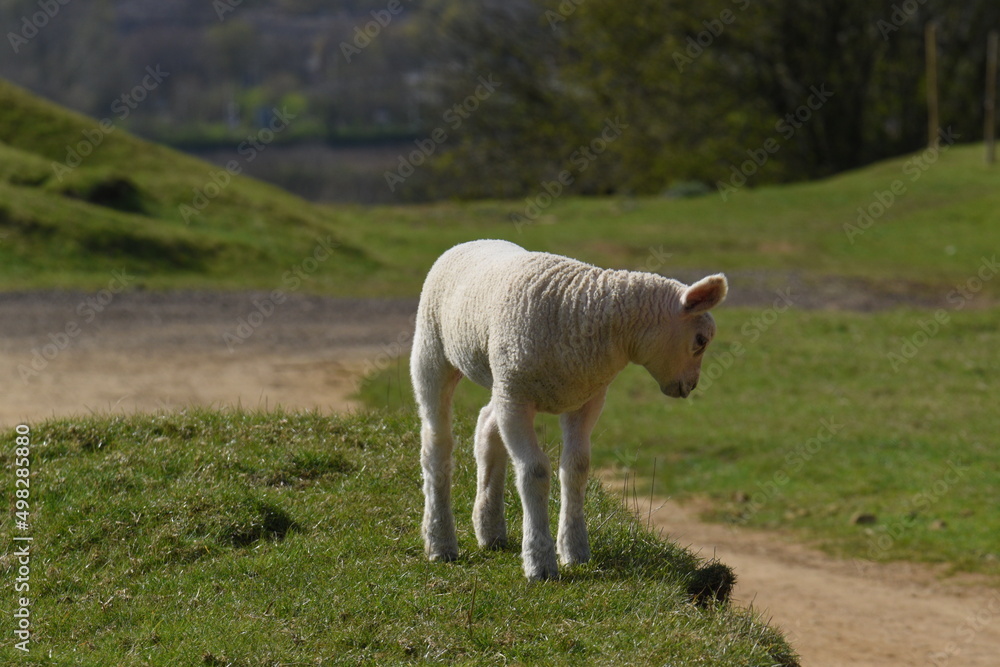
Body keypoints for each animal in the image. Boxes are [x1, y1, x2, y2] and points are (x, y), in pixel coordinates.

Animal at [411, 239, 728, 580]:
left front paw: (575, 550)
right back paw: (440, 541)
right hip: (434, 351)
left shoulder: (585, 398)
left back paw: (489, 527)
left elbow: (577, 467)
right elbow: (535, 471)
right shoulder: (517, 399)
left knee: (486, 427)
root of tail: (474, 241)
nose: (690, 386)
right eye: (700, 340)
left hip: (501, 378)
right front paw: (540, 560)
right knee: (436, 442)